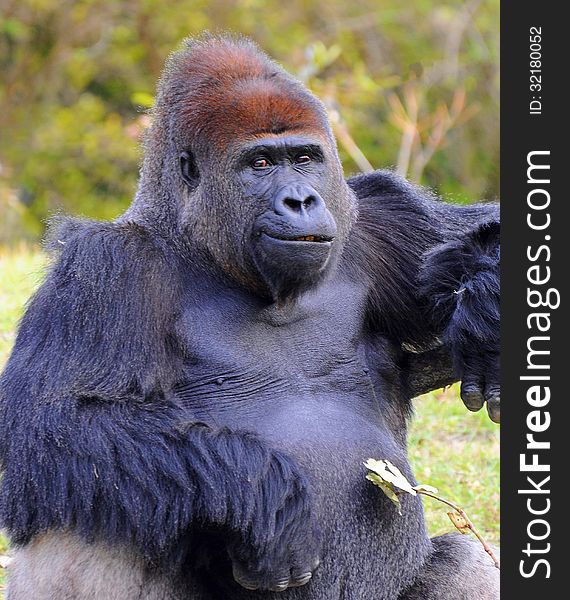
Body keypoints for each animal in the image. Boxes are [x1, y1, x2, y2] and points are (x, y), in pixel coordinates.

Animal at [0, 34, 496, 600]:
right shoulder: (102, 267)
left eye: (303, 158)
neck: (196, 239)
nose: (301, 200)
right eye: (259, 164)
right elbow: (46, 425)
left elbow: (477, 233)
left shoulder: (379, 216)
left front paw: (486, 307)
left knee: (464, 562)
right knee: (86, 505)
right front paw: (267, 497)